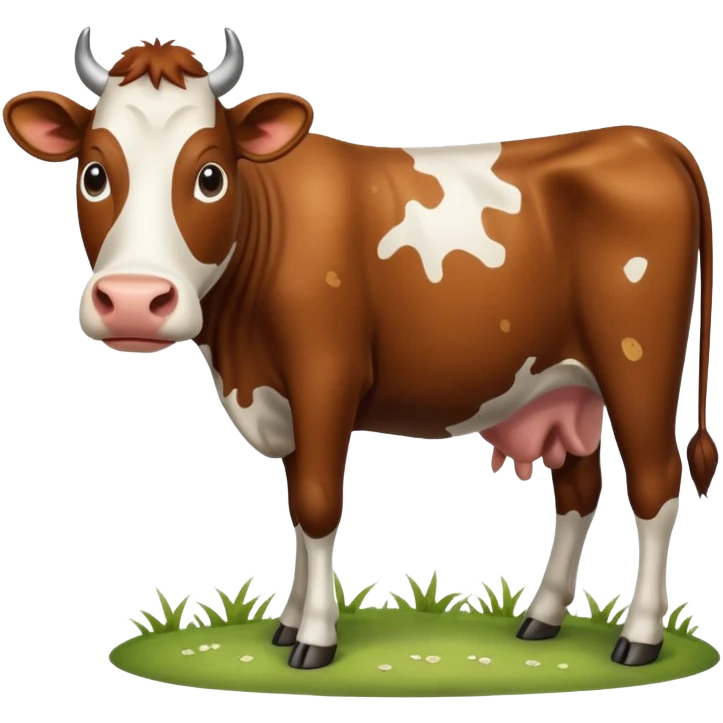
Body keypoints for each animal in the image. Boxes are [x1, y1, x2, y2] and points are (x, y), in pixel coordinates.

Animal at [2, 26, 718, 672]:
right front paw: (288, 626)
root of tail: (646, 138)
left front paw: (316, 641)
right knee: (577, 487)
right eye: (95, 173)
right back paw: (541, 619)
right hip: (566, 386)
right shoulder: (282, 398)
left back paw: (639, 638)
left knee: (655, 483)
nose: (131, 300)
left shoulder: (324, 375)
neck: (237, 357)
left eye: (209, 175)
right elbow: (295, 507)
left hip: (637, 362)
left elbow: (318, 505)